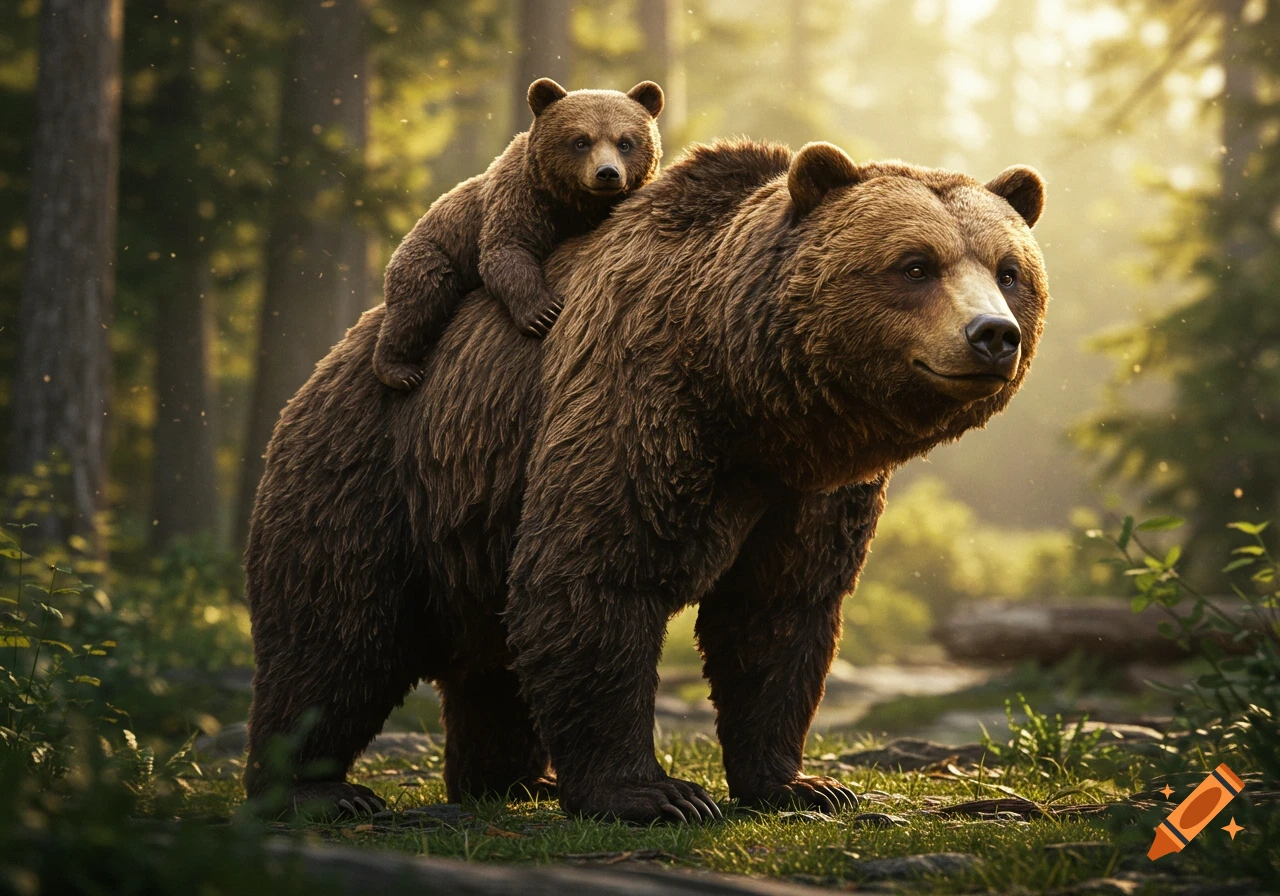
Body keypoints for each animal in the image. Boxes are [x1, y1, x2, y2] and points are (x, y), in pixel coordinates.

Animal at [242, 138, 1048, 822]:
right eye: (915, 264)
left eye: (1010, 270)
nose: (992, 334)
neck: (750, 400)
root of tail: (328, 364)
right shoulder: (639, 397)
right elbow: (594, 576)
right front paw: (658, 794)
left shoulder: (808, 490)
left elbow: (780, 613)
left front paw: (802, 784)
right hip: (374, 478)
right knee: (337, 637)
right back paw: (318, 790)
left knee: (489, 657)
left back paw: (515, 781)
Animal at [371, 78, 664, 390]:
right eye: (580, 141)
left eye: (625, 142)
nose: (607, 173)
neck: (574, 205)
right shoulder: (521, 195)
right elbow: (507, 250)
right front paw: (543, 313)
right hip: (433, 251)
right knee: (418, 301)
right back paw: (399, 370)